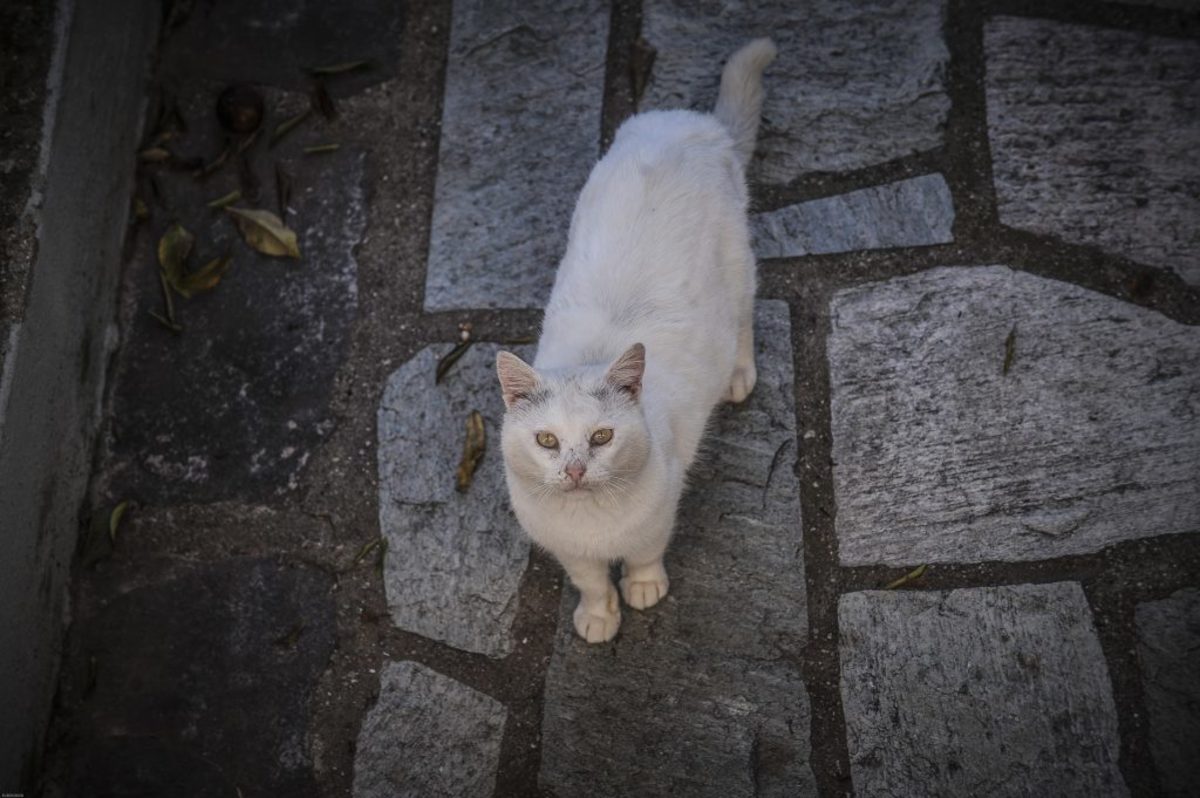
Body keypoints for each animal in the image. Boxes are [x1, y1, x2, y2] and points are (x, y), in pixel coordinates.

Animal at [496, 40, 777, 643]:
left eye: (602, 437)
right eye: (547, 441)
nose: (576, 470)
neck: (591, 522)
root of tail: (690, 121)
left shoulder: (660, 513)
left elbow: (646, 554)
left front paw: (644, 588)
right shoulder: (567, 549)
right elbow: (590, 580)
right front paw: (599, 616)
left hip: (739, 265)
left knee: (744, 317)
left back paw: (738, 375)